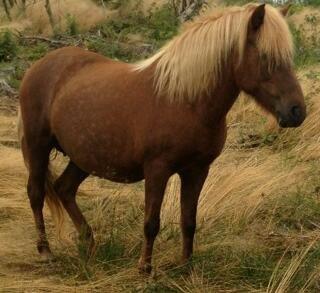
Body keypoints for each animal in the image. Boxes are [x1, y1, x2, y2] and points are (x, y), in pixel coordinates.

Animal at [18, 3, 306, 272]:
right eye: (267, 57)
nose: (297, 112)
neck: (186, 101)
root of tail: (39, 65)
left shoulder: (197, 171)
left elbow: (189, 221)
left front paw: (185, 266)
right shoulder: (157, 170)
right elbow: (151, 223)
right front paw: (145, 269)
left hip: (83, 157)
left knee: (64, 189)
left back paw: (89, 244)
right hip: (38, 145)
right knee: (36, 193)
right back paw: (45, 251)